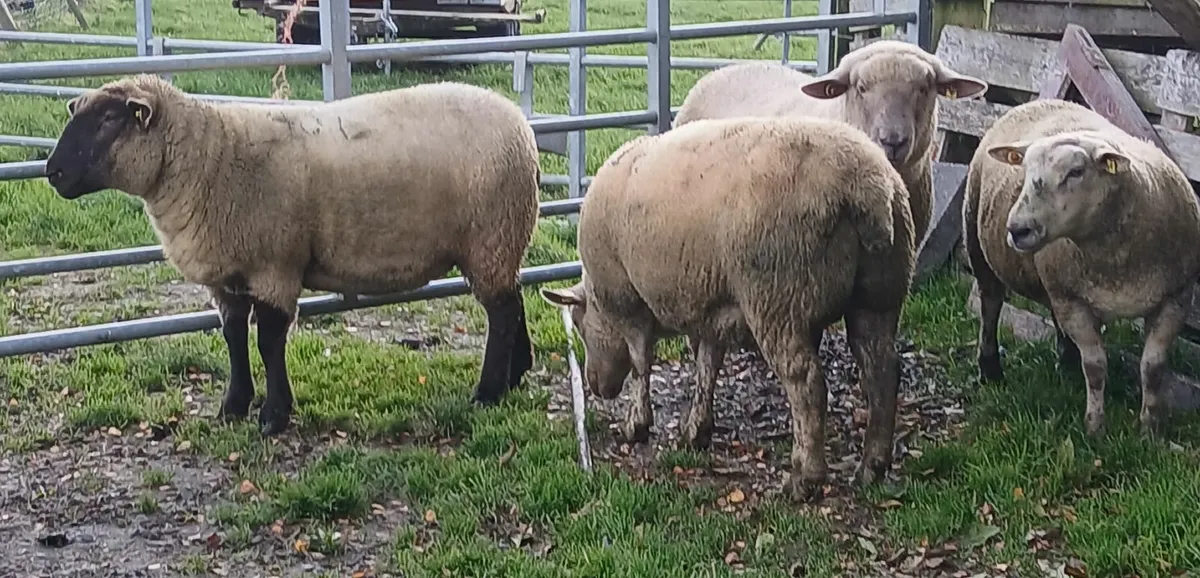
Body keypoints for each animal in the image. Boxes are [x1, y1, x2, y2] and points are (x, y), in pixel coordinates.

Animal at [43, 74, 541, 436]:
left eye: (109, 119)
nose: (53, 172)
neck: (209, 160)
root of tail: (519, 123)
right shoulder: (227, 276)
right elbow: (233, 337)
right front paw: (233, 406)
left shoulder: (274, 266)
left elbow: (268, 340)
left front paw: (274, 416)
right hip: (502, 241)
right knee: (513, 299)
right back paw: (516, 374)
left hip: (491, 235)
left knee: (500, 312)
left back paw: (488, 393)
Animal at [540, 115, 916, 501]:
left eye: (580, 327)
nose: (595, 385)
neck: (599, 296)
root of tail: (867, 186)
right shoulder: (710, 310)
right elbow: (707, 366)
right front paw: (696, 431)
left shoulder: (628, 302)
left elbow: (642, 365)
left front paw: (636, 425)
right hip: (879, 294)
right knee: (882, 369)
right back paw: (873, 465)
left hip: (777, 297)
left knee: (807, 382)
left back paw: (804, 477)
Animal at [963, 98, 1200, 438]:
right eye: (1024, 170)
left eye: (1076, 171)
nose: (1017, 229)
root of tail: (1041, 101)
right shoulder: (1072, 300)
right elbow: (1096, 366)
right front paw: (1094, 427)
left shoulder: (1176, 298)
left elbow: (1153, 367)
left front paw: (1150, 428)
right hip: (977, 239)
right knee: (990, 305)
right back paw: (991, 370)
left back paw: (1067, 366)